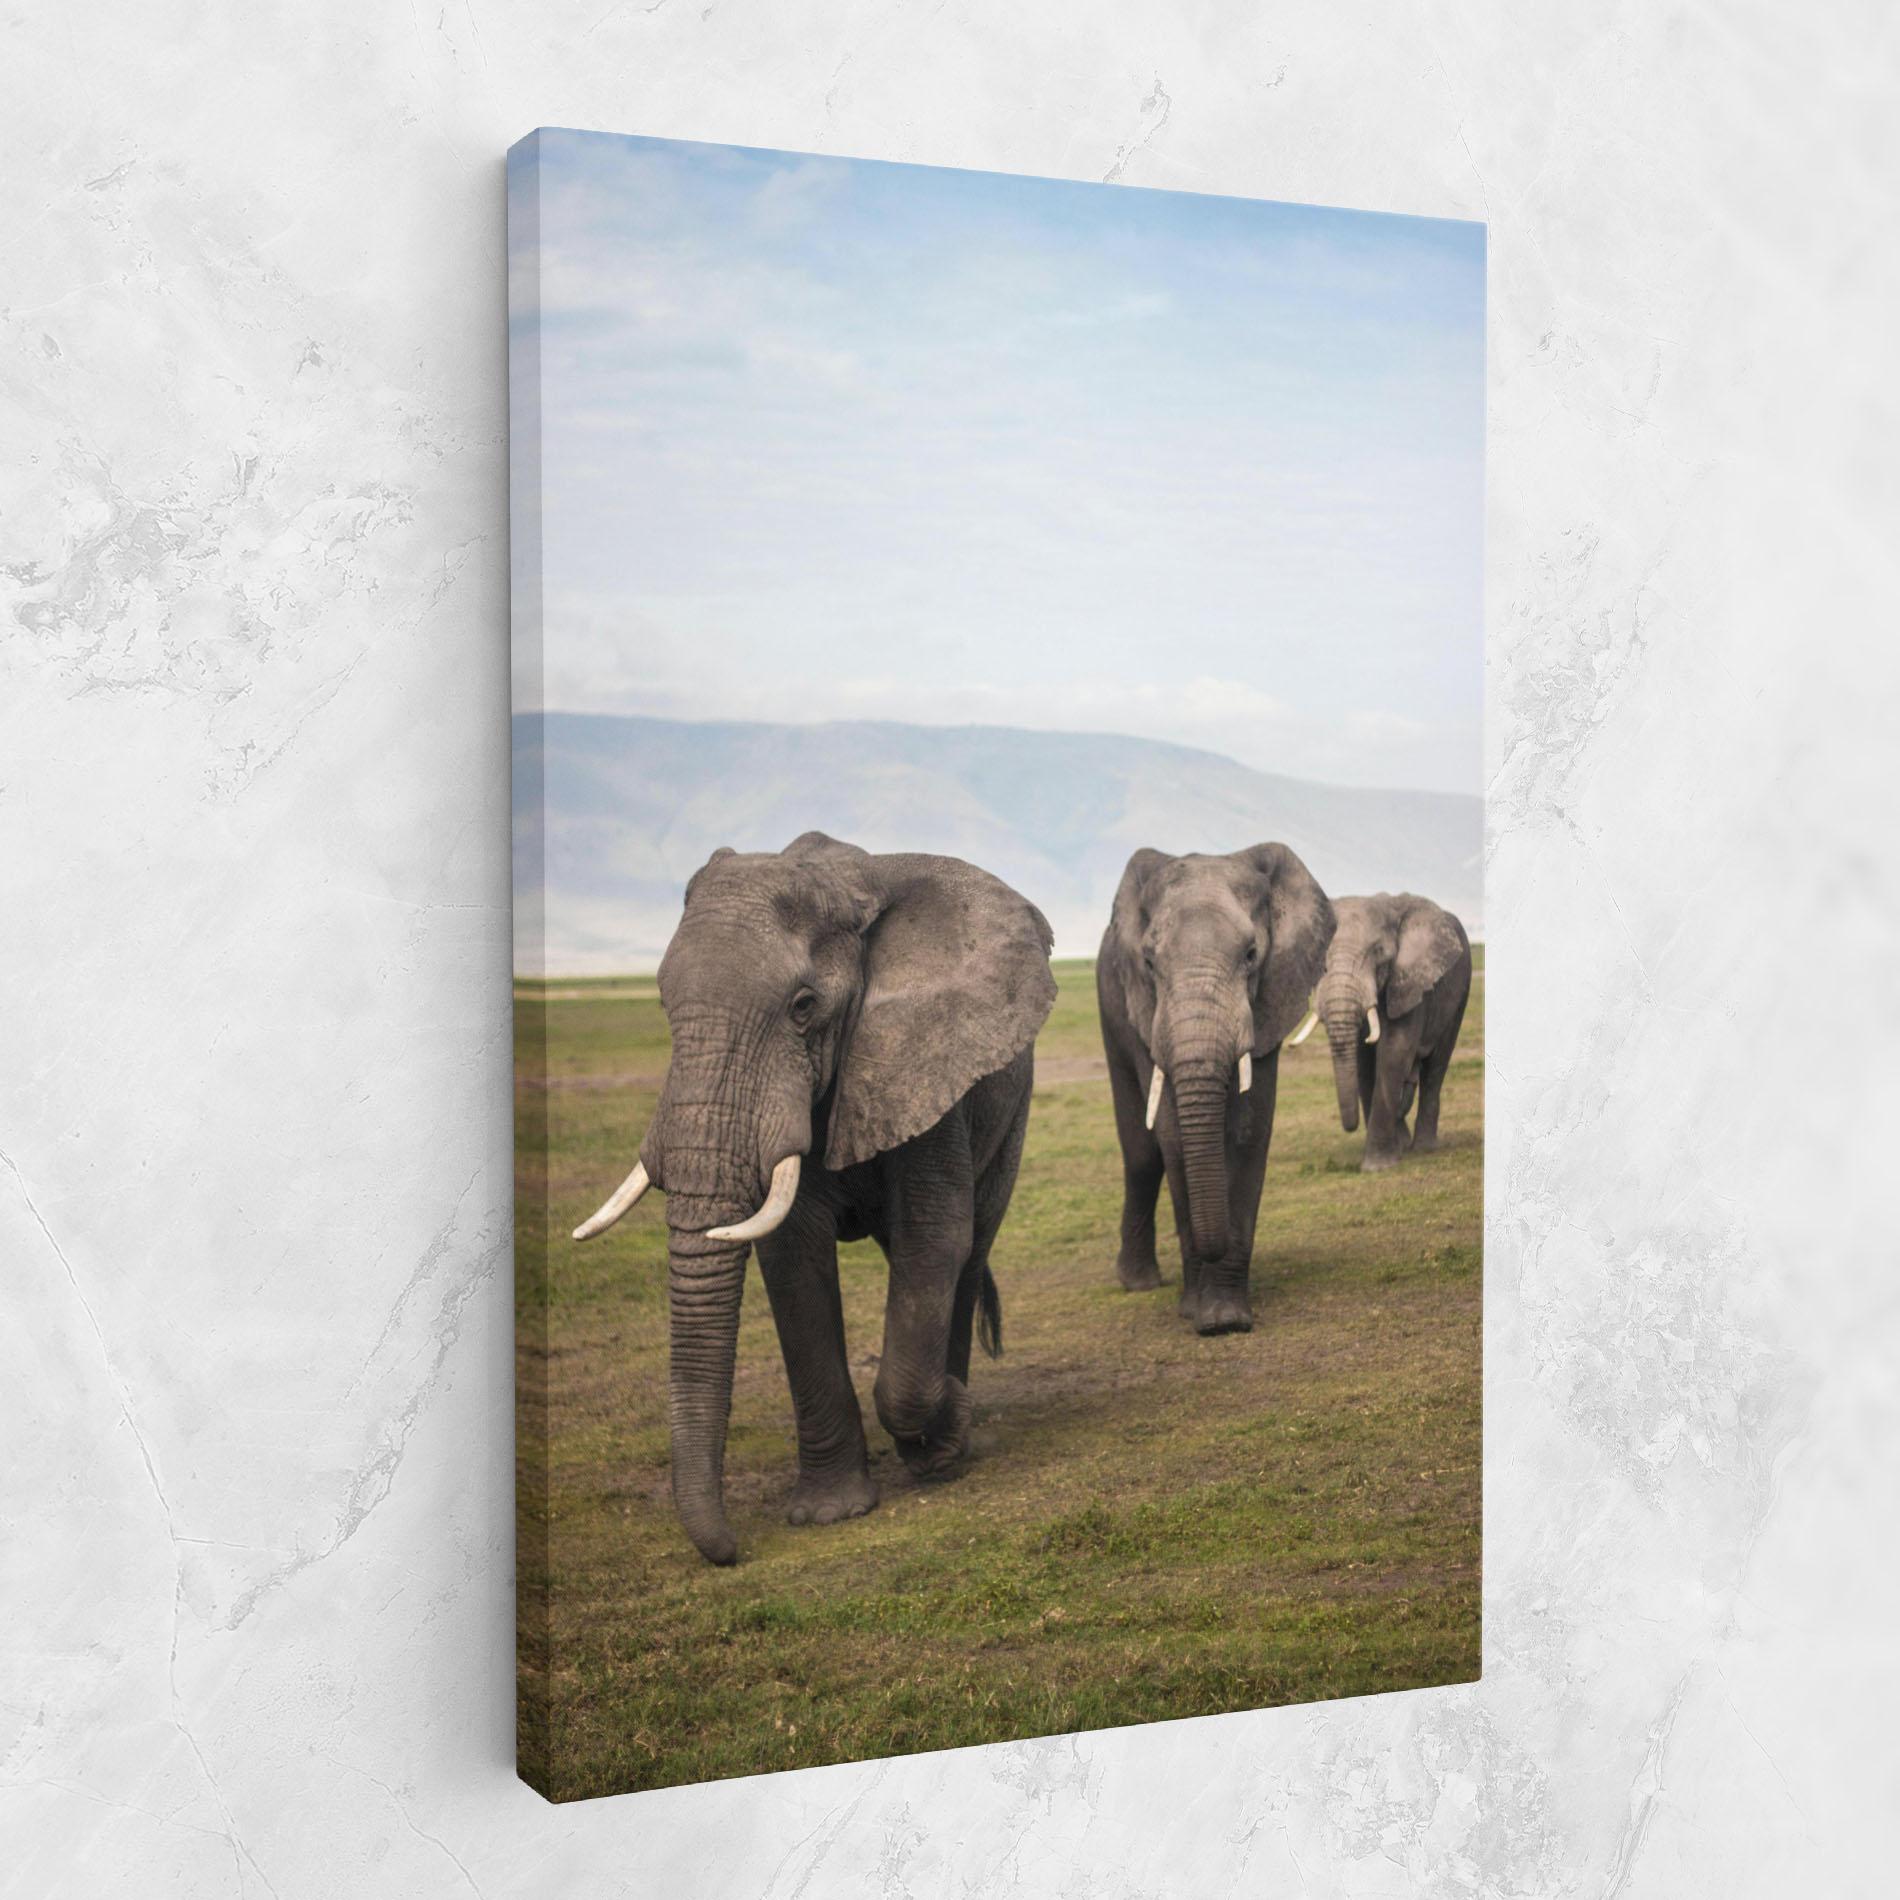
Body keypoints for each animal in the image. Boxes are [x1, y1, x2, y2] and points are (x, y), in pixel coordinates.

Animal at [571, 831, 1057, 1566]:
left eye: (804, 1007)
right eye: (660, 1004)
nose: (731, 1551)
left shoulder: (924, 1063)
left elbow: (934, 1238)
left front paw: (944, 1433)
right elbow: (792, 1262)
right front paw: (829, 1513)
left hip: (1012, 1109)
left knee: (969, 1252)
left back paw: (948, 1438)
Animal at [1097, 844, 1335, 1335]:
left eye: (1251, 954)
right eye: (1149, 963)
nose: (1214, 1245)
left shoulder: (1269, 1001)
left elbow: (1247, 1132)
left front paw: (1225, 1319)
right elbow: (1173, 1140)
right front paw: (1198, 1314)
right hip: (1111, 1010)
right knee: (1142, 1154)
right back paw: (1139, 1283)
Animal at [1288, 893, 1471, 1172]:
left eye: (1378, 953)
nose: (1350, 1126)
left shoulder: (1409, 982)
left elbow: (1395, 1051)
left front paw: (1377, 1167)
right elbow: (1364, 1062)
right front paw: (1390, 1155)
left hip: (1461, 991)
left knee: (1437, 1065)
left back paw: (1423, 1147)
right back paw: (1404, 1144)